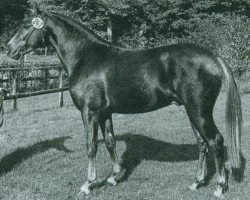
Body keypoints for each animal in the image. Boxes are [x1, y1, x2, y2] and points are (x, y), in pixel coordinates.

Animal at [6, 5, 242, 198]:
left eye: (27, 25)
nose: (9, 48)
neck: (86, 57)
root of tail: (213, 57)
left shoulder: (89, 112)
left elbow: (91, 145)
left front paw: (88, 184)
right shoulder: (104, 112)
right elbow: (110, 141)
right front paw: (113, 177)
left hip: (200, 112)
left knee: (215, 141)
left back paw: (219, 188)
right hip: (192, 112)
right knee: (202, 143)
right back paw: (196, 182)